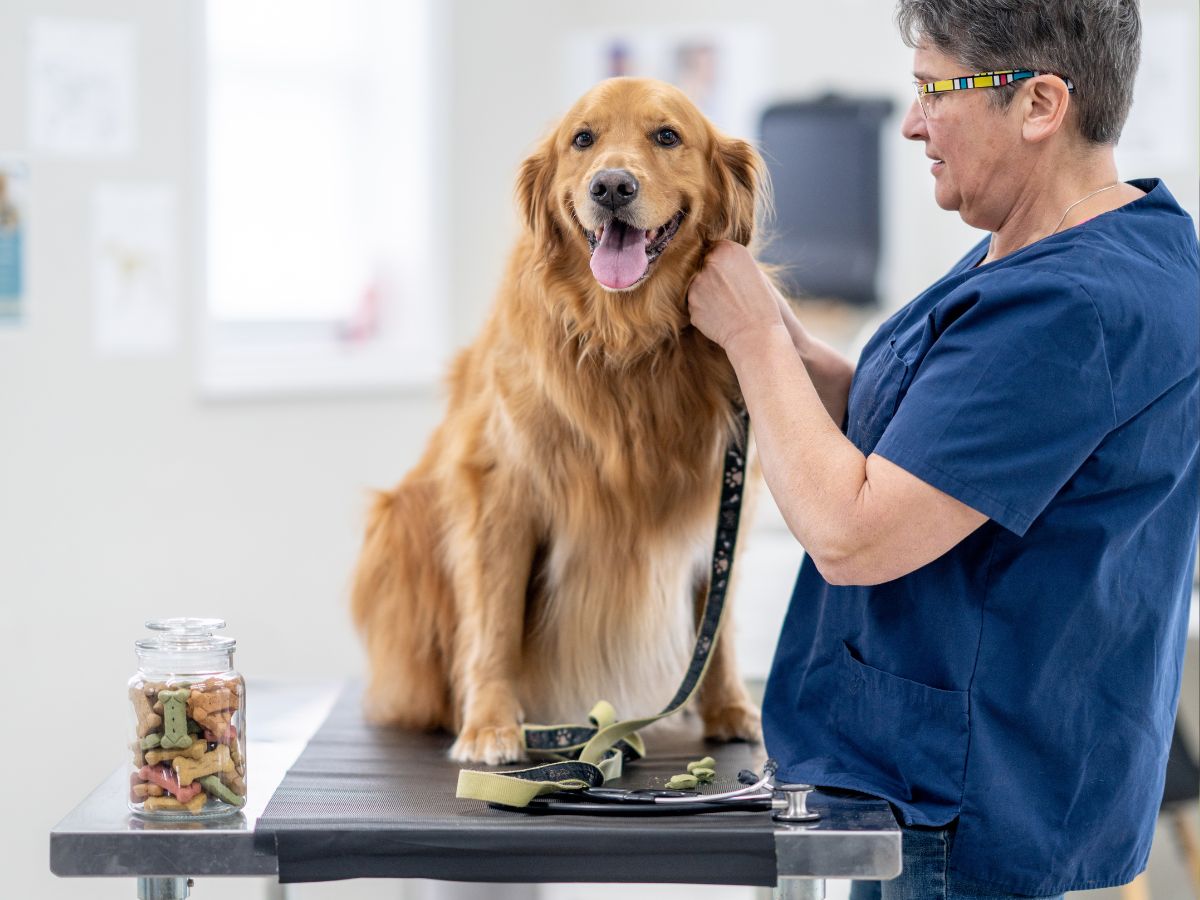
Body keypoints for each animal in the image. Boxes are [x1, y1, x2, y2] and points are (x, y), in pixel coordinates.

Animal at [350, 79, 763, 768]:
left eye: (667, 135)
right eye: (582, 139)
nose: (612, 187)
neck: (624, 342)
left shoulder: (721, 494)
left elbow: (721, 618)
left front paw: (730, 708)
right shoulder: (500, 489)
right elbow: (492, 622)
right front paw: (490, 726)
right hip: (400, 521)